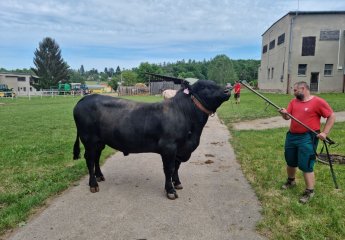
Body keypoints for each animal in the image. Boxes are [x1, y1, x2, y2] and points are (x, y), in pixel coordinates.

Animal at [72, 80, 228, 199]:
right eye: (205, 87)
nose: (227, 90)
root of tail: (85, 98)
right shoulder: (169, 147)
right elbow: (169, 168)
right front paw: (170, 190)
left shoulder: (180, 149)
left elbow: (177, 167)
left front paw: (177, 183)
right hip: (89, 140)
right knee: (90, 159)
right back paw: (93, 184)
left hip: (99, 142)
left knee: (96, 157)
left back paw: (99, 176)